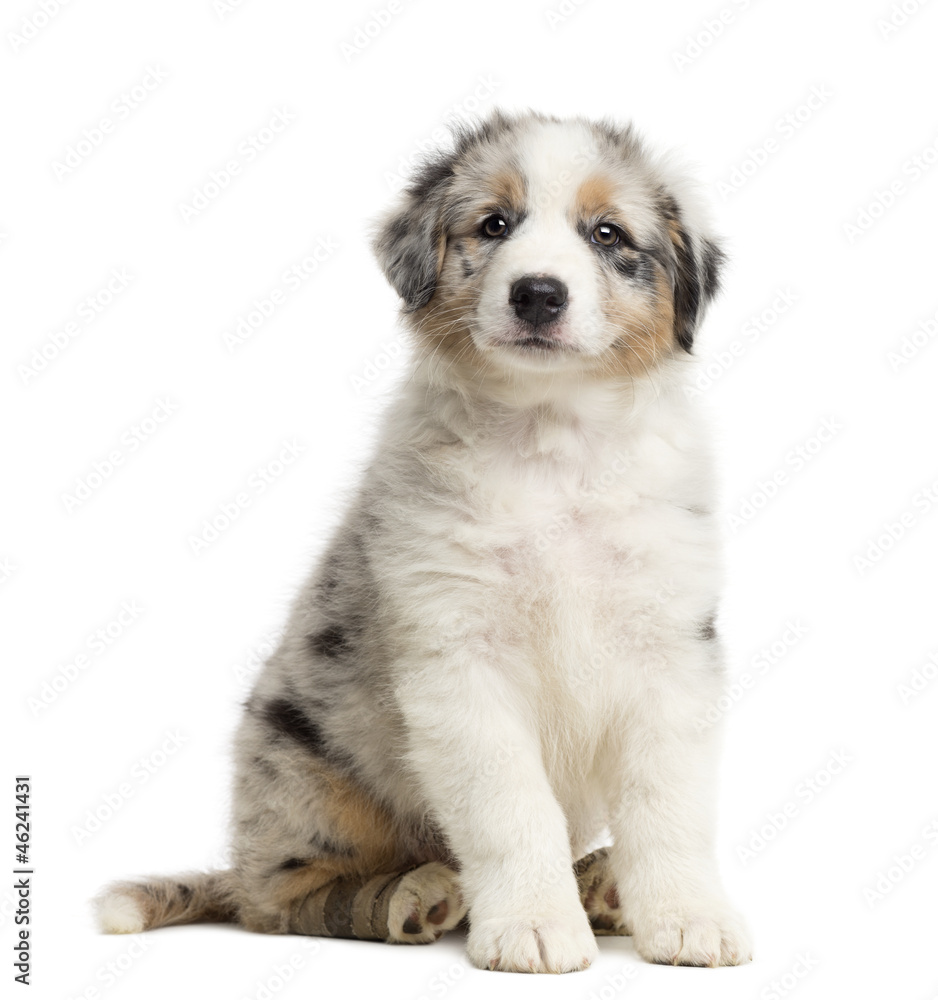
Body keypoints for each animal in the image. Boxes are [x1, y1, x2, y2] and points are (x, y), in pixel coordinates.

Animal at [97, 111, 752, 976]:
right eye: (494, 225)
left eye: (607, 233)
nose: (537, 293)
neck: (551, 438)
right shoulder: (459, 657)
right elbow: (512, 809)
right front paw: (534, 926)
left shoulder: (670, 649)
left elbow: (668, 805)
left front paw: (686, 916)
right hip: (306, 782)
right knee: (285, 899)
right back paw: (418, 895)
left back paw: (601, 885)